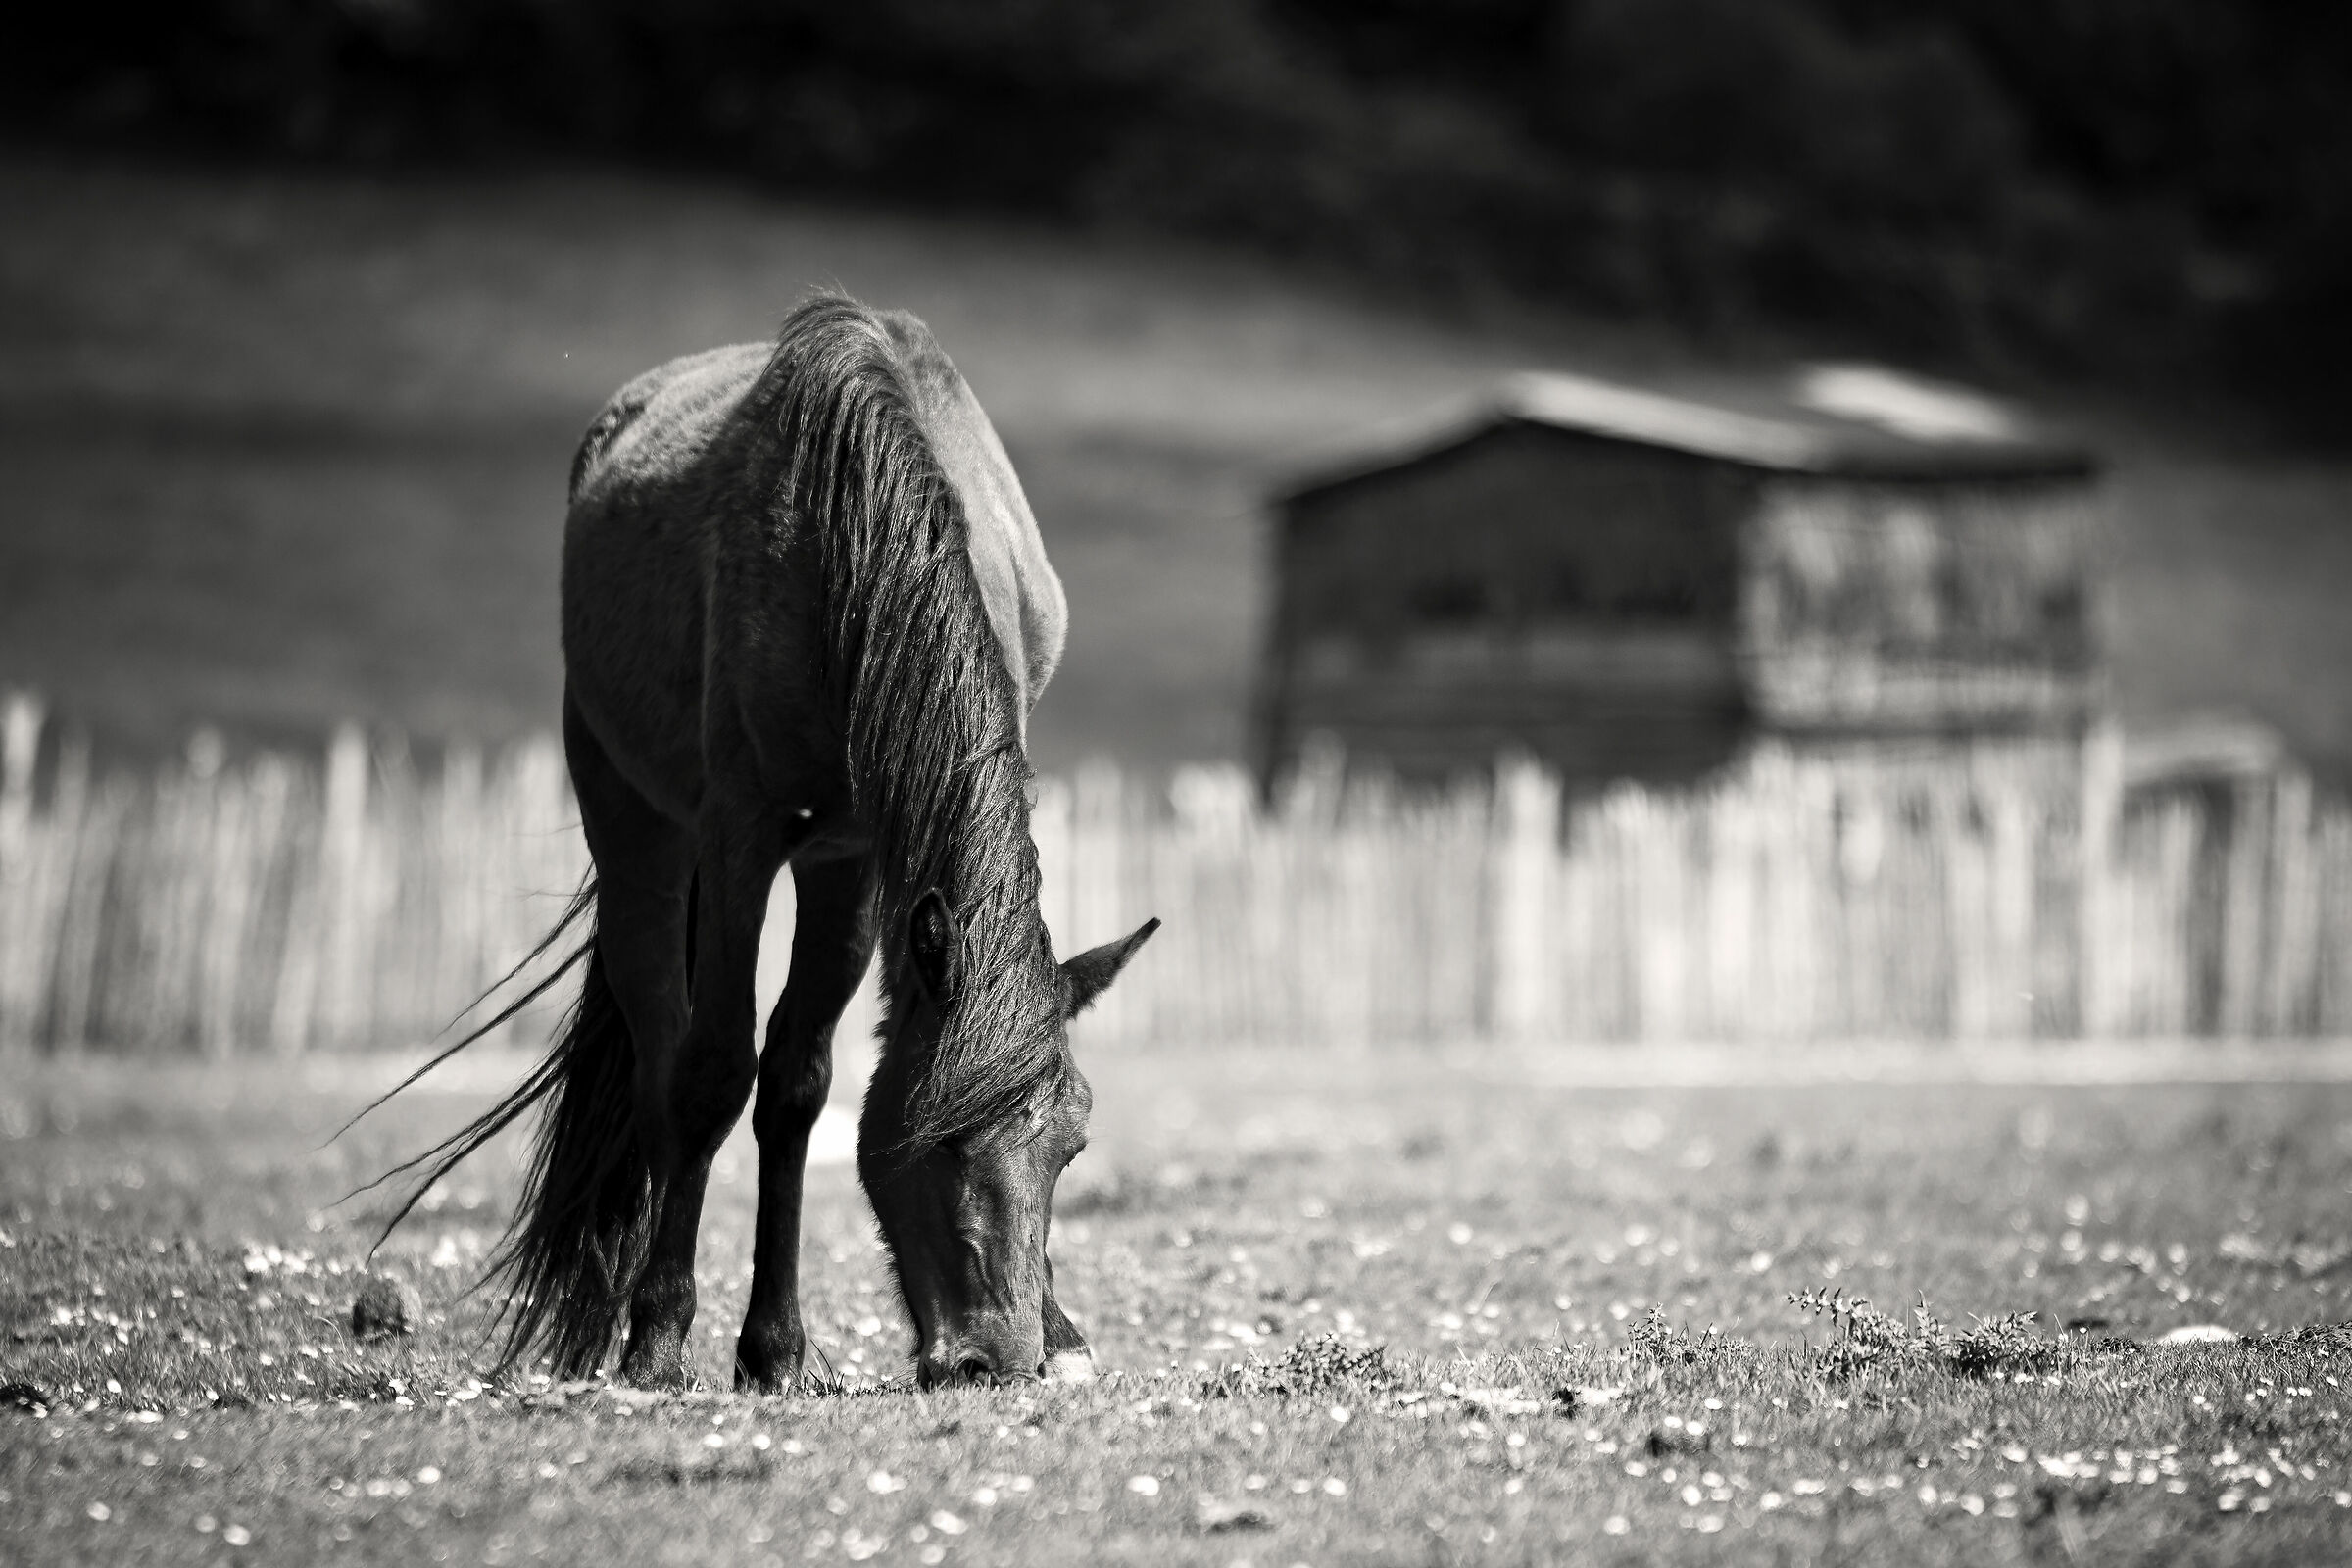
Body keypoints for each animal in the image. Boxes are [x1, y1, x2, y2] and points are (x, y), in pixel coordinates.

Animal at [378, 293, 1158, 1392]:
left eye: (1071, 1151)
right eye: (942, 1140)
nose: (993, 1358)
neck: (859, 537)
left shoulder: (856, 860)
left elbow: (799, 1083)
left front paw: (780, 1346)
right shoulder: (744, 833)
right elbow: (714, 1073)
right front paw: (662, 1339)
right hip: (638, 826)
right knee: (662, 1051)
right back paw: (626, 1315)